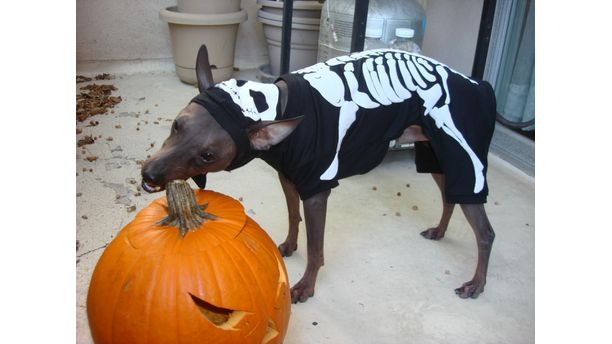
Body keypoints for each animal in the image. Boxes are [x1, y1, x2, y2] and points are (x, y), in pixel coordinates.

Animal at [142, 45, 498, 304]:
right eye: (177, 125)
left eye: (208, 156)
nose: (149, 174)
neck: (280, 105)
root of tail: (478, 84)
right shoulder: (289, 178)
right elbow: (292, 215)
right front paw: (288, 245)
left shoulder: (317, 190)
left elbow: (316, 249)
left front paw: (306, 286)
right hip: (437, 157)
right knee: (449, 197)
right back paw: (440, 231)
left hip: (462, 155)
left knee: (485, 232)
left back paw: (477, 283)